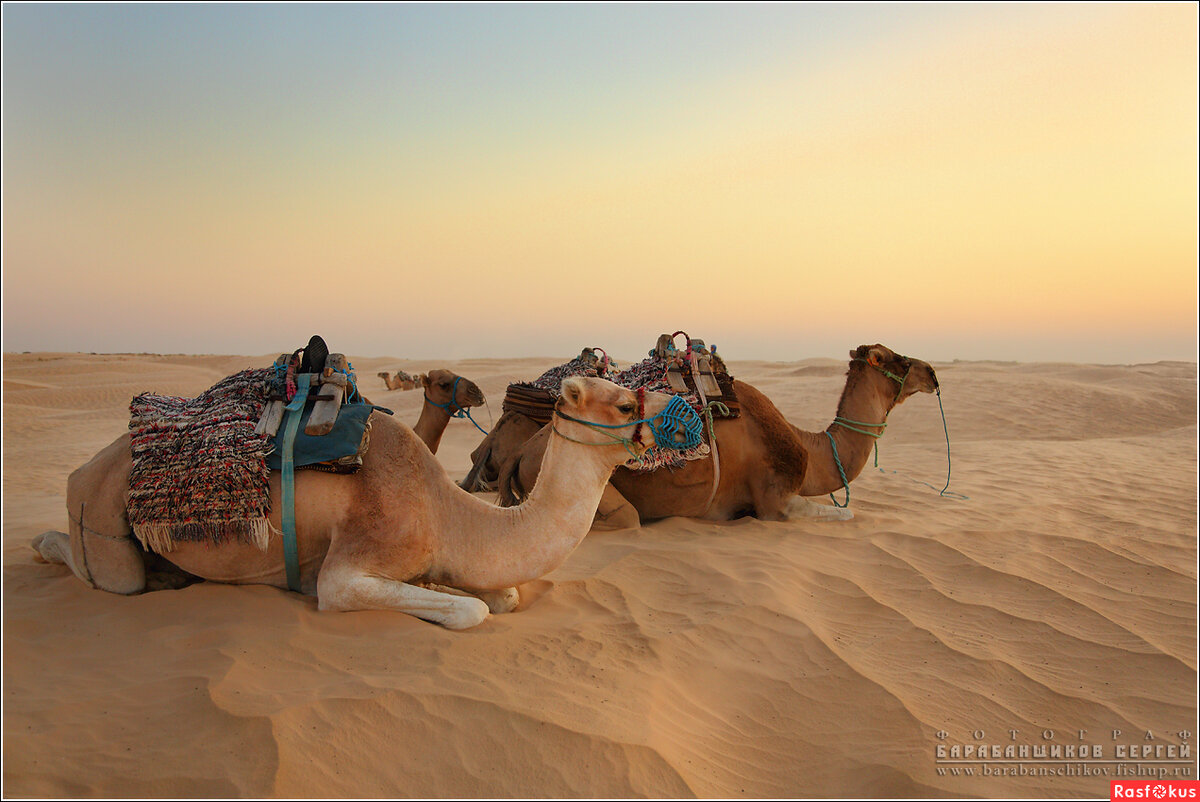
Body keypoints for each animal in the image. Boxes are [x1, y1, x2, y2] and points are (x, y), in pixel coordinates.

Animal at [30, 379, 676, 629]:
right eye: (624, 403)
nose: (669, 421)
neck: (447, 512)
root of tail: (83, 471)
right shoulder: (349, 568)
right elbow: (474, 610)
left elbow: (505, 595)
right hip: (97, 512)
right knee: (103, 571)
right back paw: (42, 543)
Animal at [494, 345, 936, 523]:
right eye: (897, 359)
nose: (931, 372)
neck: (811, 451)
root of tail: (523, 451)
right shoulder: (775, 503)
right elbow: (848, 513)